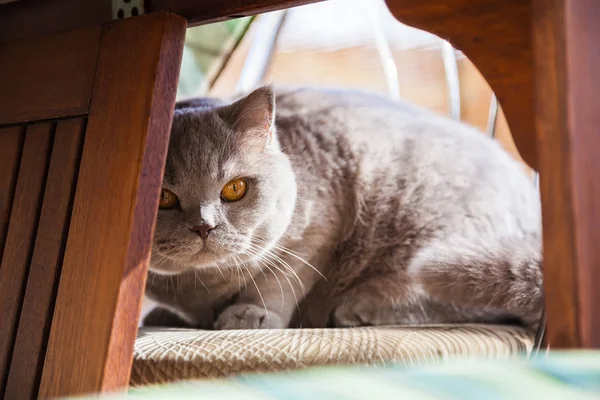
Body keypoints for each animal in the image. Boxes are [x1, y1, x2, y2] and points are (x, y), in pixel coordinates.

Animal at [145, 86, 544, 330]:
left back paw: (359, 307)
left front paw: (251, 314)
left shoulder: (316, 232)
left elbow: (275, 283)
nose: (203, 225)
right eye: (162, 197)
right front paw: (173, 315)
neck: (205, 284)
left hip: (439, 242)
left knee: (474, 302)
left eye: (234, 188)